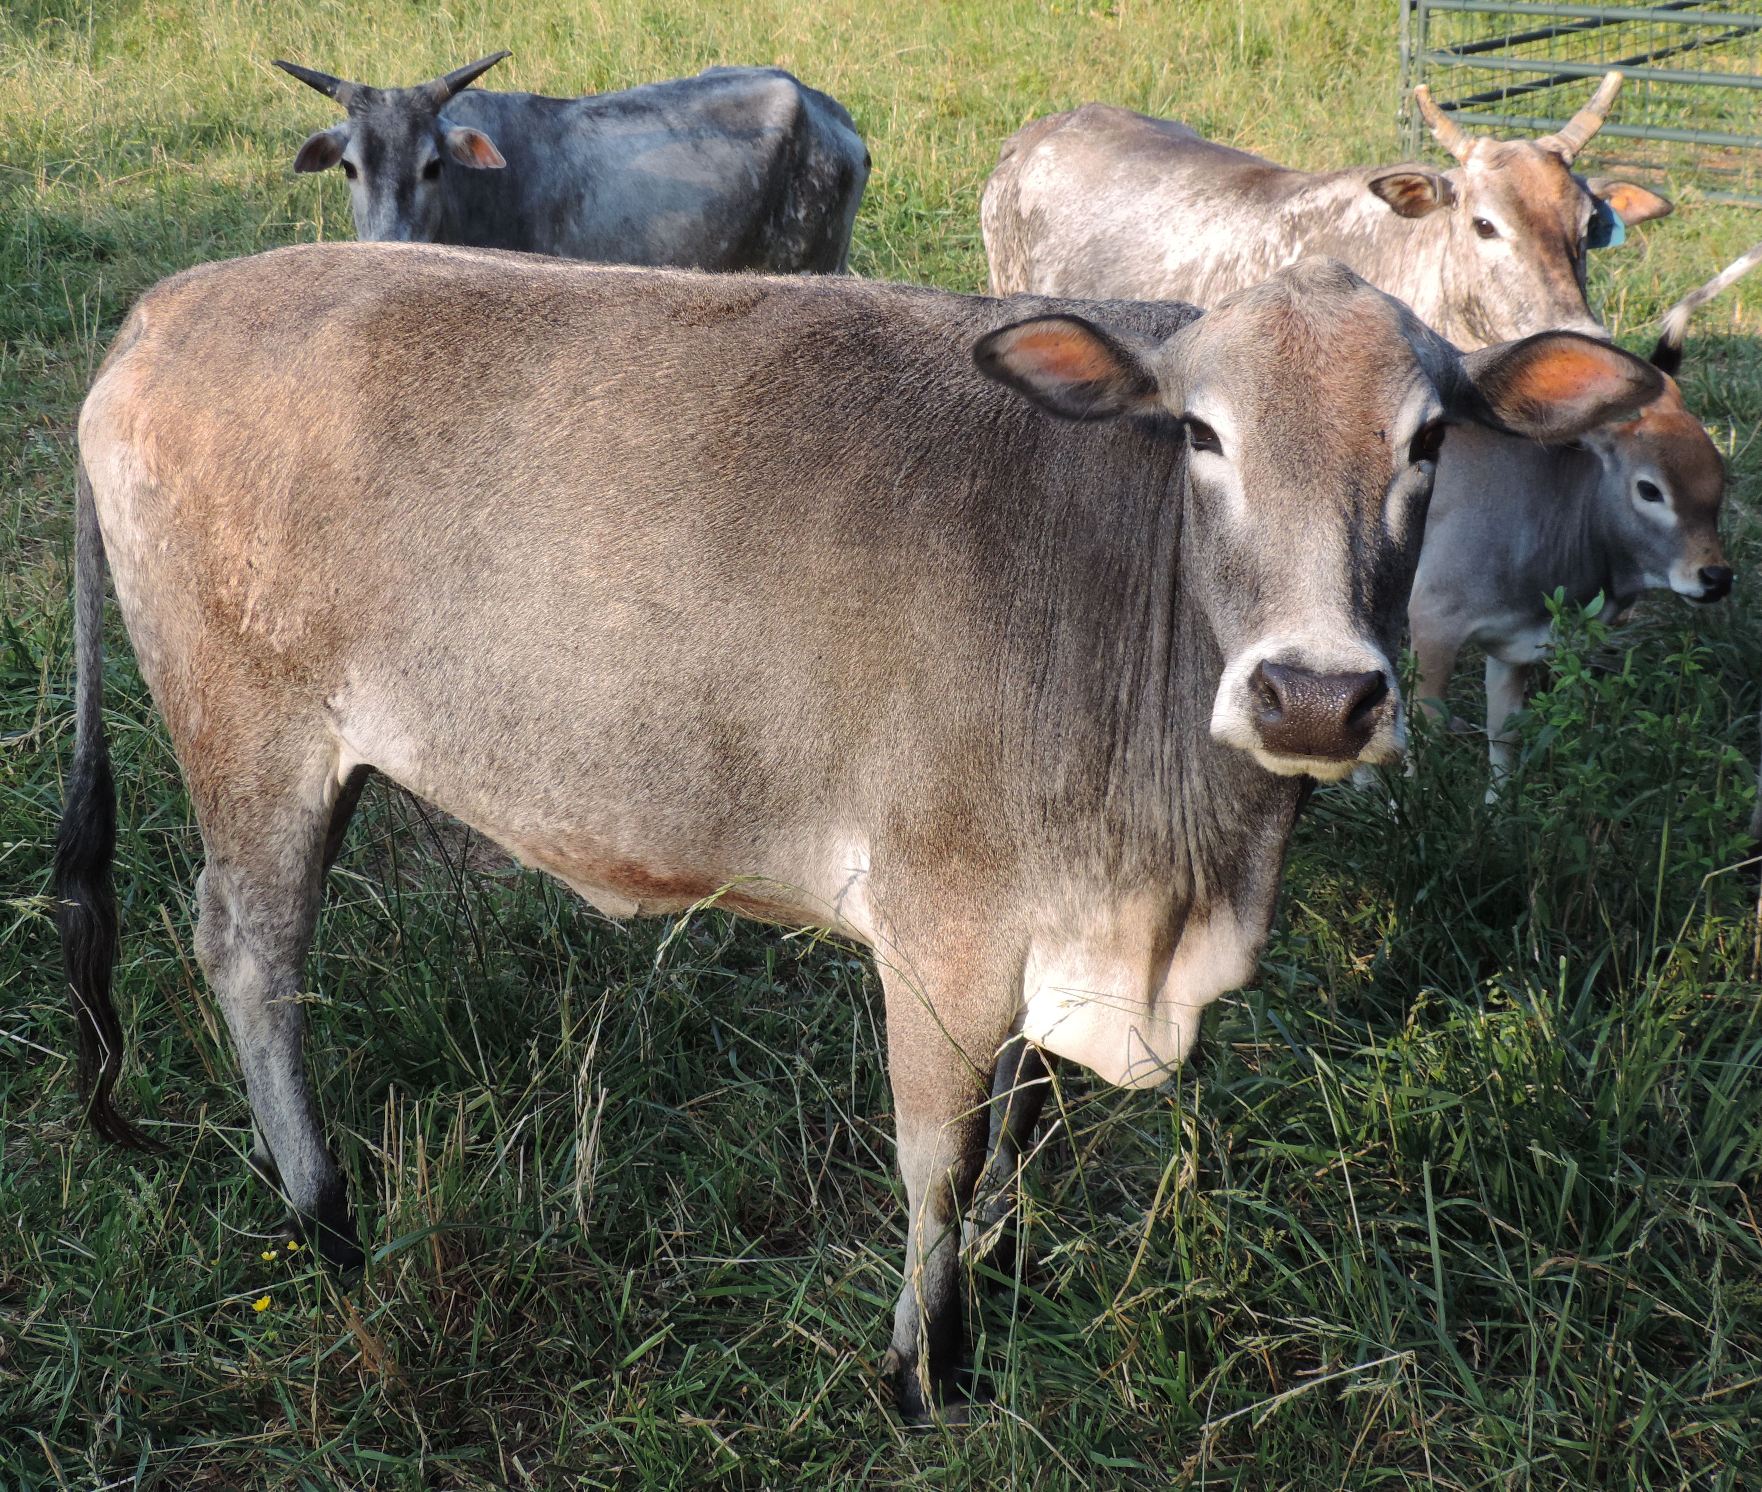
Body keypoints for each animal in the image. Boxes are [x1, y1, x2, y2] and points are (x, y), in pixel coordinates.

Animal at [57, 246, 1662, 1422]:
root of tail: (179, 298)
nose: (1316, 694)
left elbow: (1023, 1121)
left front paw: (1001, 1282)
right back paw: (324, 1220)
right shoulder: (942, 928)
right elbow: (936, 1153)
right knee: (249, 956)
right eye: (1203, 433)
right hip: (255, 744)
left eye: (1427, 440)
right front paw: (922, 1368)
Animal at [1407, 244, 1759, 787]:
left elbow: (1504, 741)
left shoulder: (1514, 649)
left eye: (1719, 483)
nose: (1715, 577)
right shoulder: (1431, 626)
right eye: (1649, 490)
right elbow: (1416, 746)